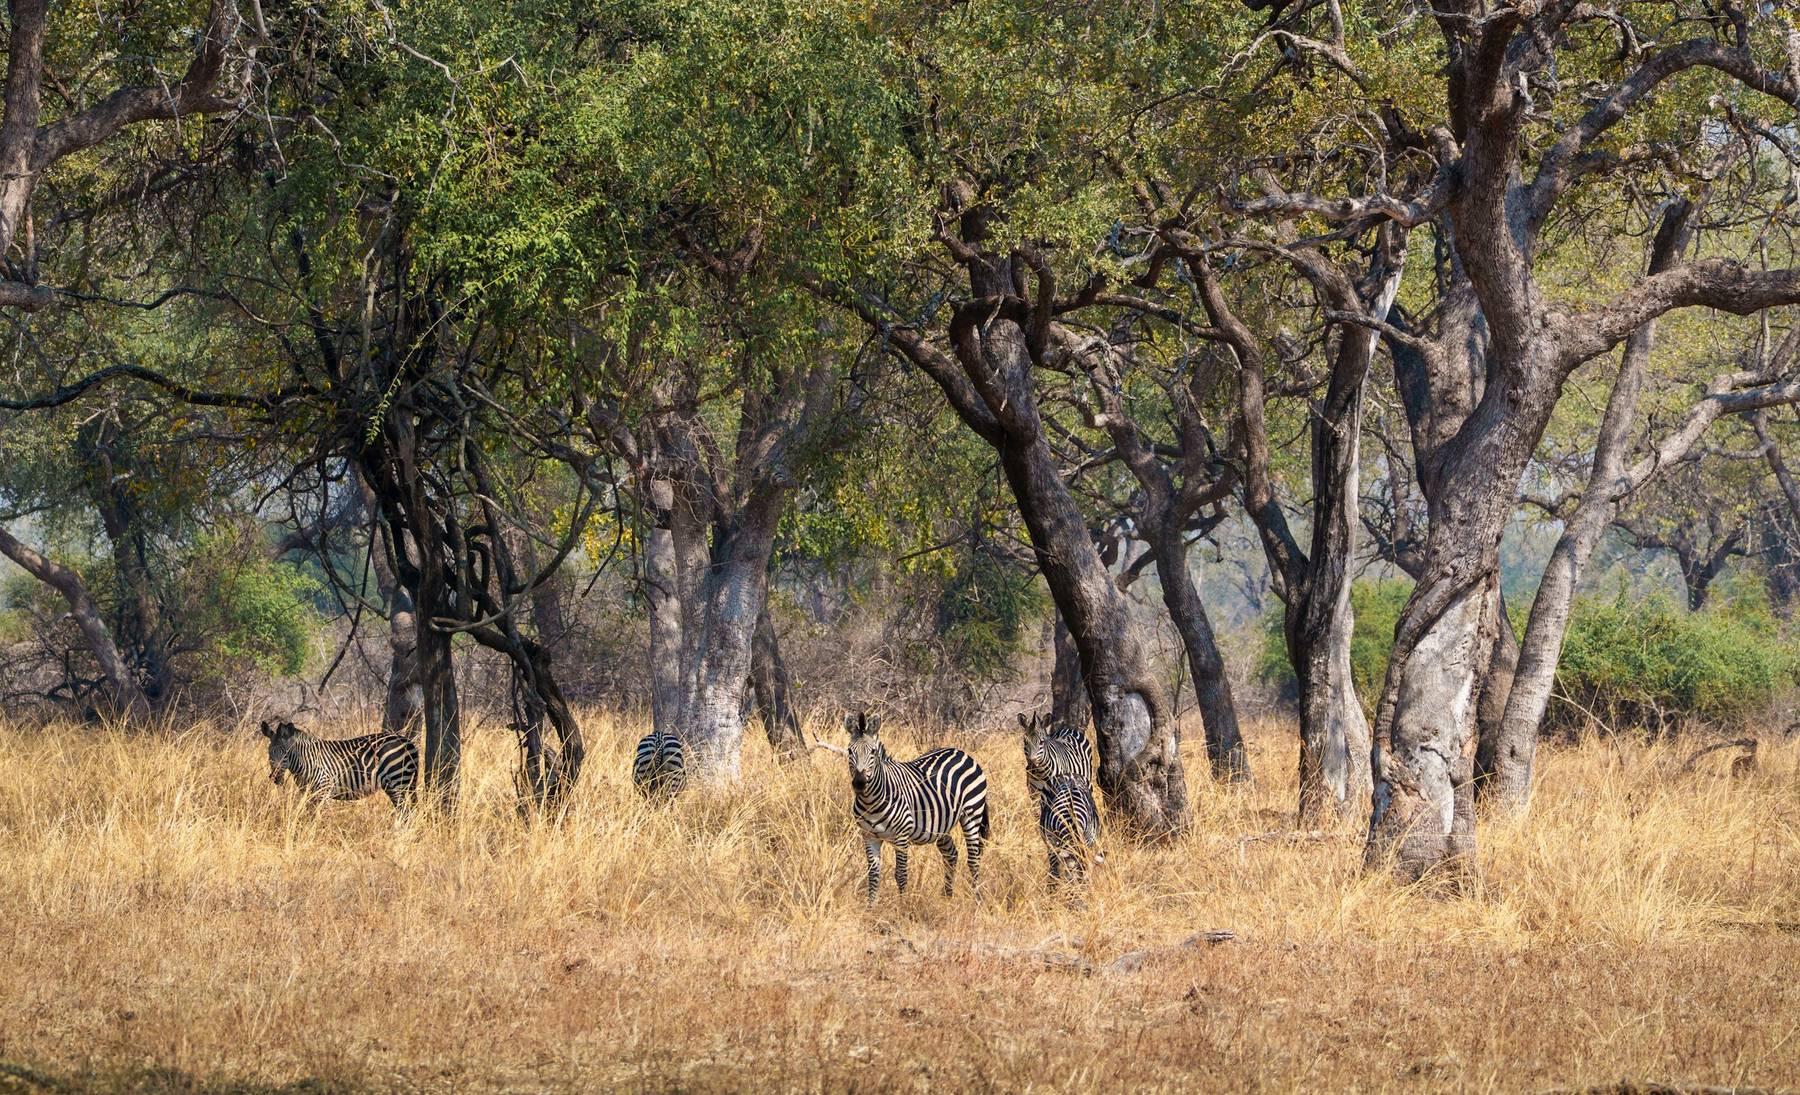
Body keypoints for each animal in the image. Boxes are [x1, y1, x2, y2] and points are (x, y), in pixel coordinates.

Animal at [259, 720, 417, 810]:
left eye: (286, 753)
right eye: (269, 752)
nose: (275, 777)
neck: (305, 761)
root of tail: (407, 741)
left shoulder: (323, 791)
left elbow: (322, 818)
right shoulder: (308, 793)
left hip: (397, 782)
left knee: (405, 812)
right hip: (399, 784)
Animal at [843, 711, 989, 904]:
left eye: (873, 752)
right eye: (849, 751)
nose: (859, 783)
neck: (871, 802)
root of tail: (960, 751)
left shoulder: (901, 836)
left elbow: (901, 874)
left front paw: (902, 907)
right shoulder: (869, 836)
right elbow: (873, 875)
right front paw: (871, 906)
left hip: (972, 814)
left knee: (973, 859)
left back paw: (977, 900)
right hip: (941, 823)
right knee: (951, 853)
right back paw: (947, 897)